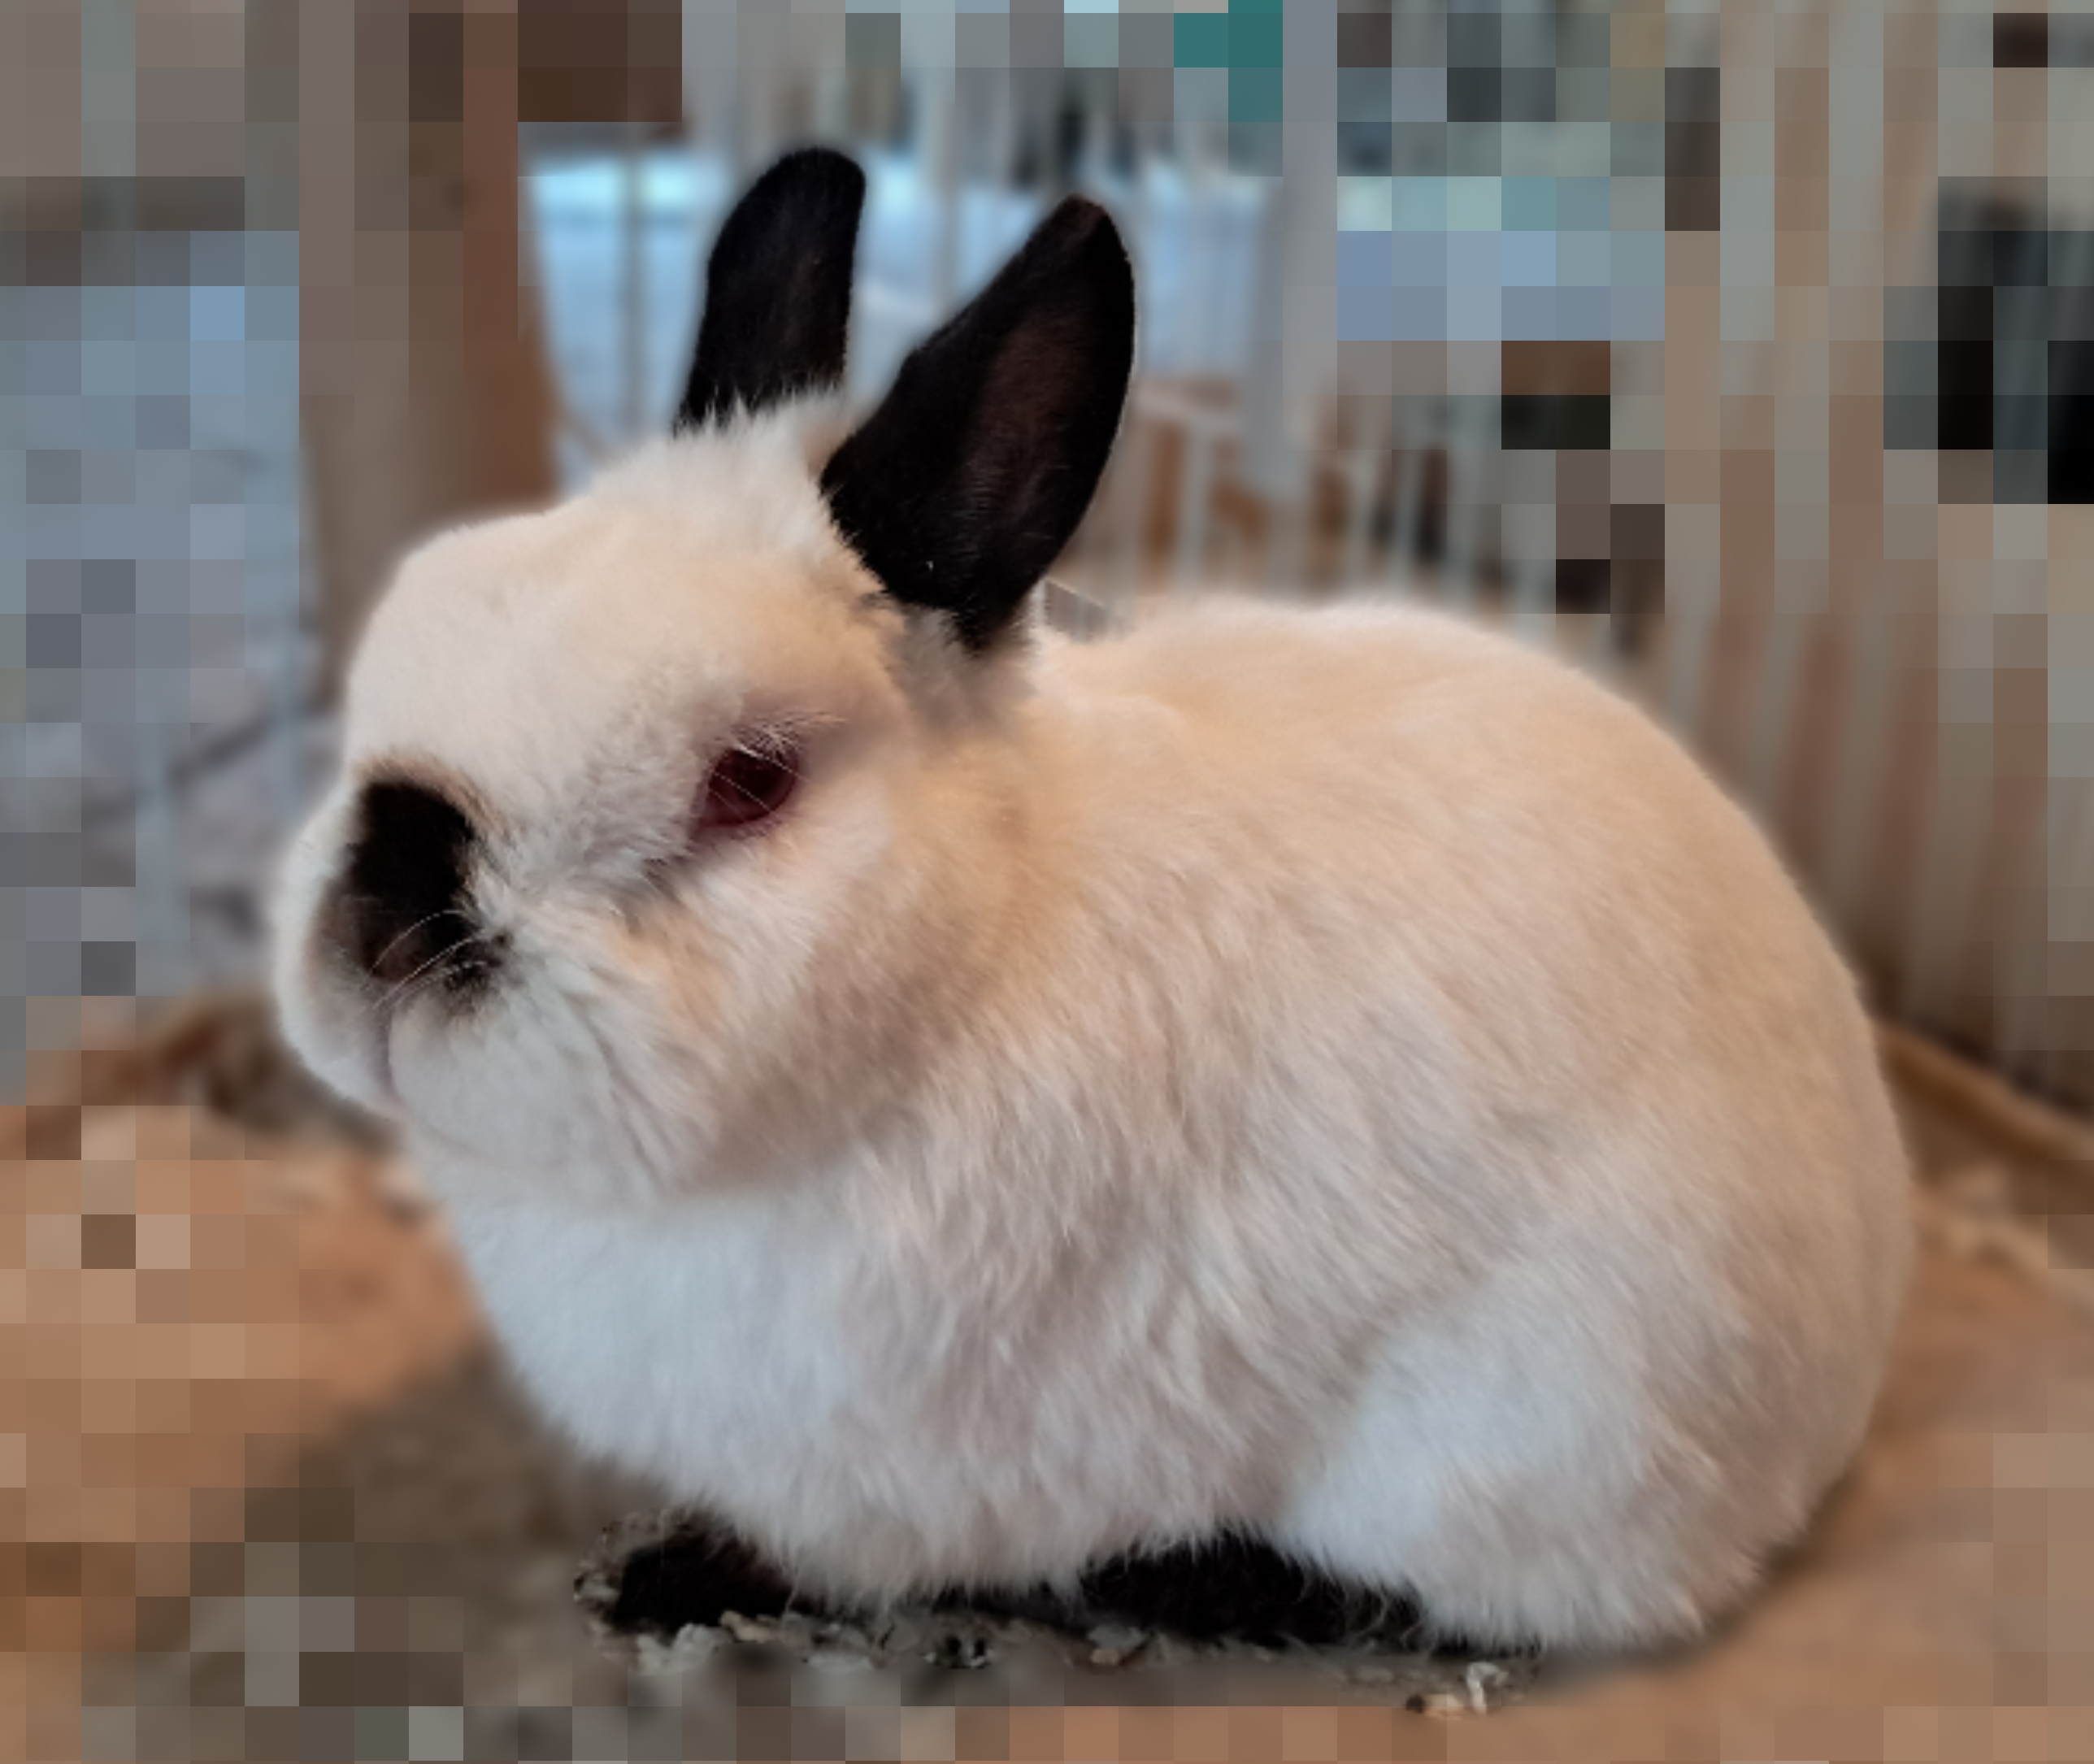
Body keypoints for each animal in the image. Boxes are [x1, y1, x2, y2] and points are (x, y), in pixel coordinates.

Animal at [271, 146, 1914, 1655]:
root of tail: (1854, 1348)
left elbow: (820, 1563)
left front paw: (664, 1582)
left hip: (1533, 1445)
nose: (389, 919)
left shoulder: (887, 1489)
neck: (963, 968)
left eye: (749, 780)